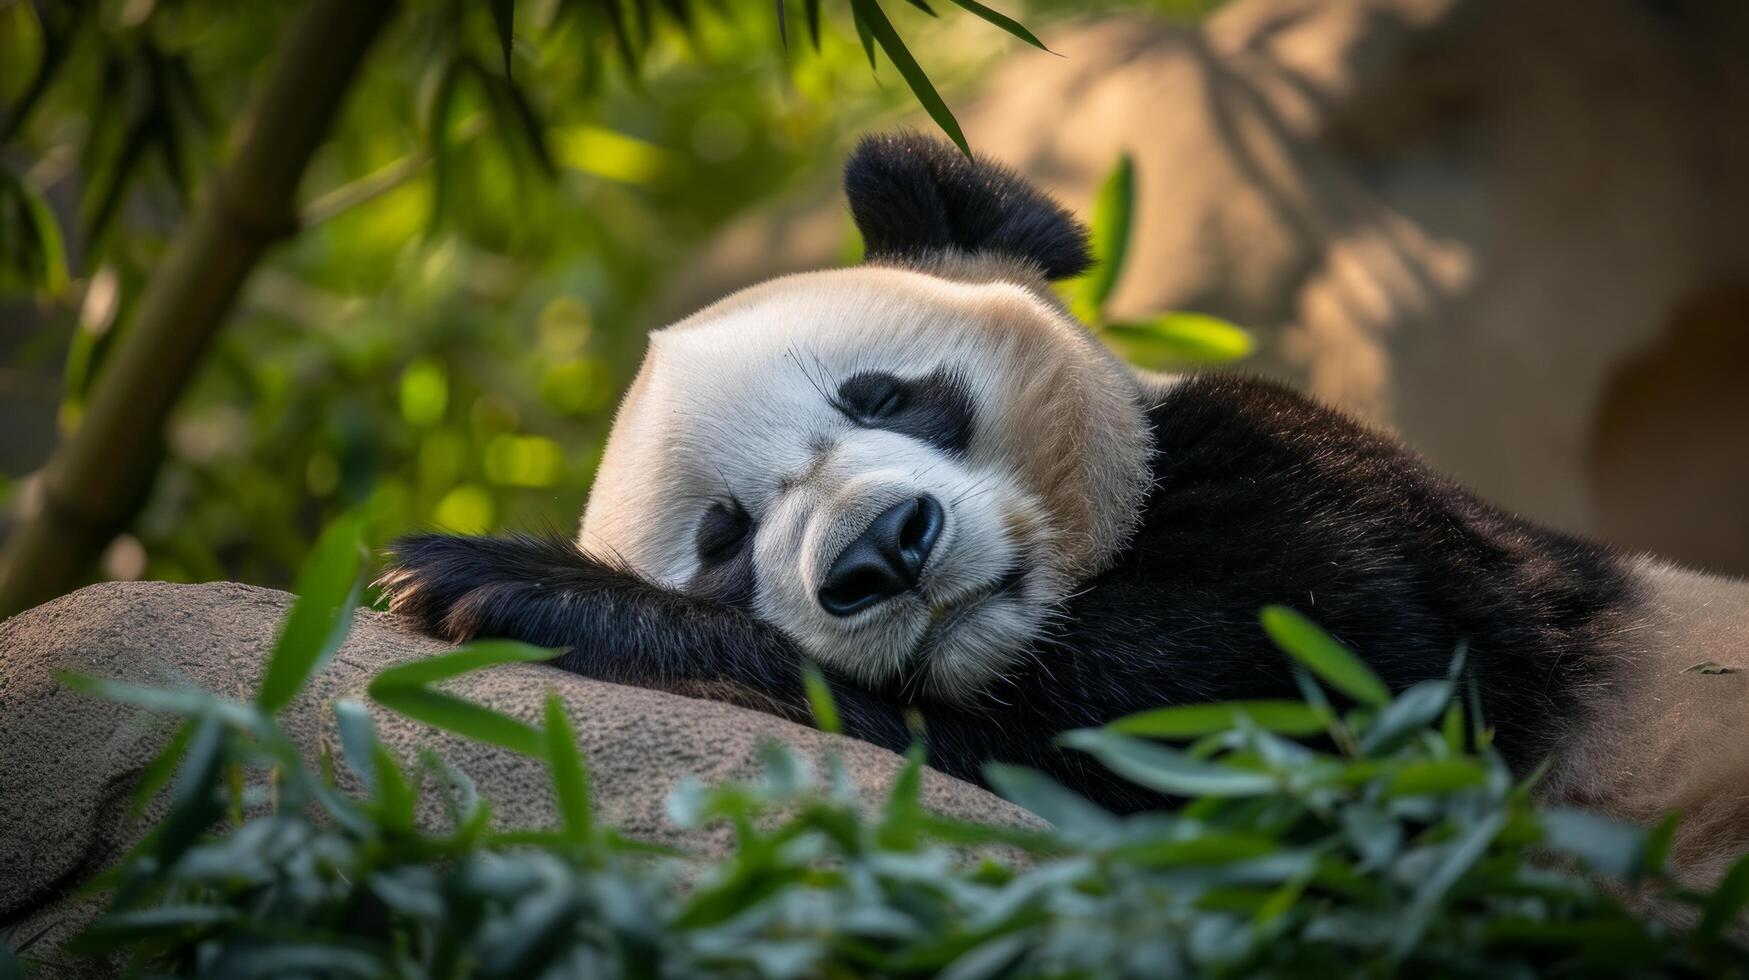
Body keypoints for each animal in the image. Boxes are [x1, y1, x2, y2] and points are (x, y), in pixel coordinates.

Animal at [383, 128, 1749, 864]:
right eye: (723, 536)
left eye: (883, 396)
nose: (886, 547)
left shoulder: (1354, 521)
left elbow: (1261, 719)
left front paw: (495, 578)